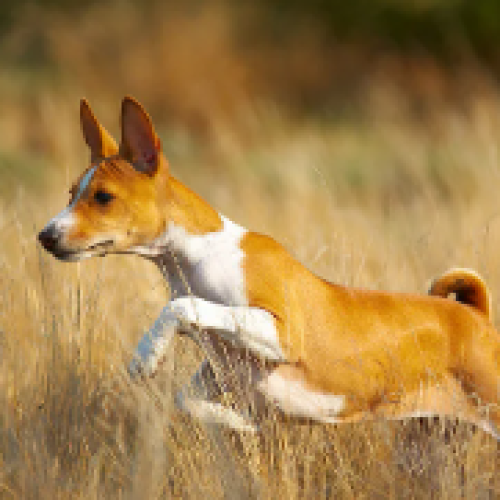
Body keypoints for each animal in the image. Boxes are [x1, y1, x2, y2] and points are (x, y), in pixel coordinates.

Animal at [38, 95, 496, 436]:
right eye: (70, 193)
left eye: (103, 197)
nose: (45, 235)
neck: (199, 258)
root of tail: (476, 315)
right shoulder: (221, 369)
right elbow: (188, 400)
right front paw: (238, 423)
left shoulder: (281, 331)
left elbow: (181, 306)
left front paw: (147, 353)